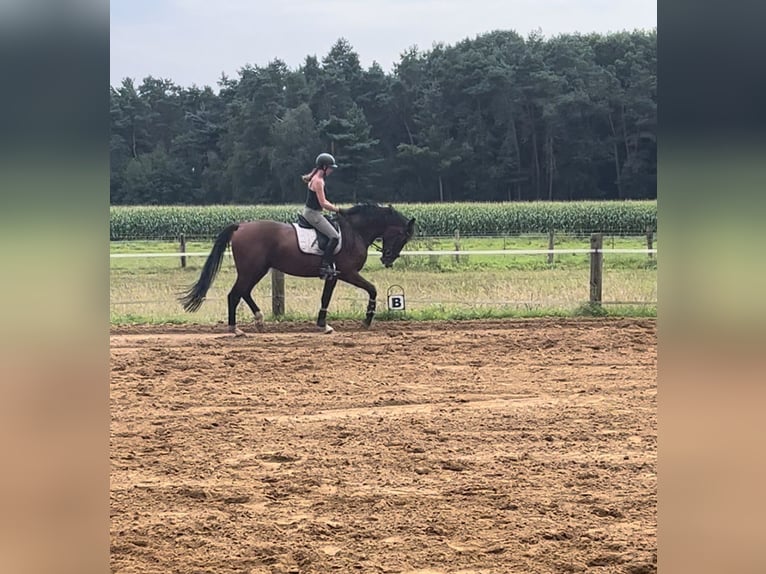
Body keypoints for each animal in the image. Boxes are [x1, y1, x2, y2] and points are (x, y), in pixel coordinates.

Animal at [179, 204, 416, 336]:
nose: (387, 259)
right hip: (251, 270)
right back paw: (235, 329)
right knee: (234, 294)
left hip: (258, 270)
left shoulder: (334, 276)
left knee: (244, 292)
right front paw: (366, 320)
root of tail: (241, 226)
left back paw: (259, 321)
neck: (354, 231)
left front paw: (322, 325)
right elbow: (372, 289)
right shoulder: (347, 273)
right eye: (402, 236)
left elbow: (326, 297)